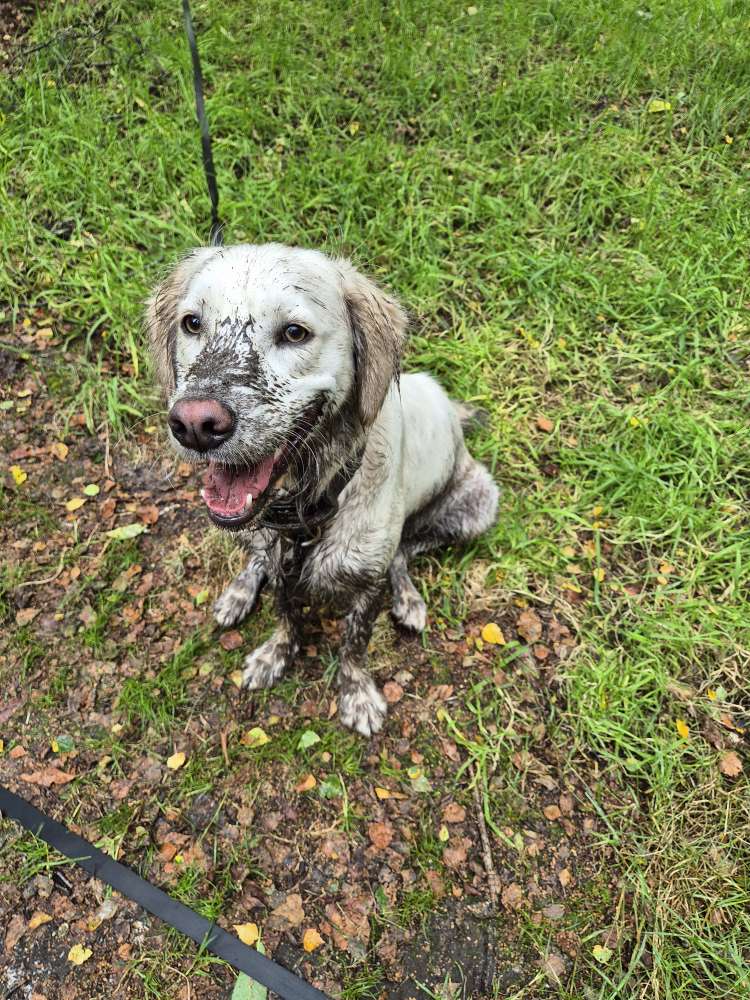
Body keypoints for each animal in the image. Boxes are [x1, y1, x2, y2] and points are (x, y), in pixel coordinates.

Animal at [147, 244, 500, 736]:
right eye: (192, 323)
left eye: (295, 332)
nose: (196, 425)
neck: (308, 513)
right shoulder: (280, 563)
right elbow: (285, 616)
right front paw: (276, 654)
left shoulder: (368, 585)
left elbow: (355, 644)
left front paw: (358, 695)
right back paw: (239, 591)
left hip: (477, 505)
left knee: (405, 551)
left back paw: (409, 598)